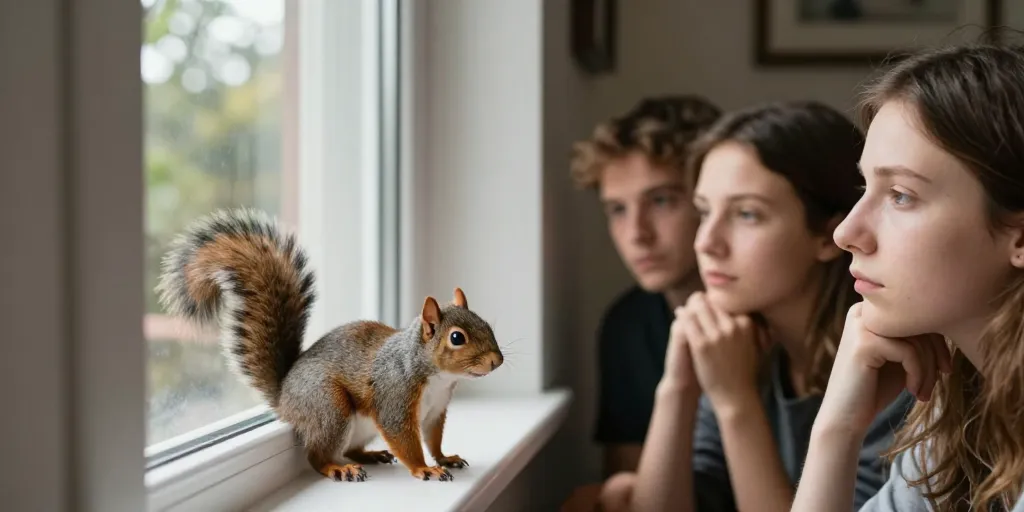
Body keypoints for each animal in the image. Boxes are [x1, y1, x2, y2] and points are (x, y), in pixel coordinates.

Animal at [155, 208, 504, 483]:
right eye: (457, 338)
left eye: (487, 324)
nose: (497, 361)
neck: (436, 375)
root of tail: (284, 396)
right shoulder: (395, 397)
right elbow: (406, 440)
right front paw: (423, 469)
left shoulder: (435, 410)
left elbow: (433, 438)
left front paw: (444, 458)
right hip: (329, 407)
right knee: (316, 456)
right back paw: (338, 468)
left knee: (350, 448)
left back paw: (368, 456)